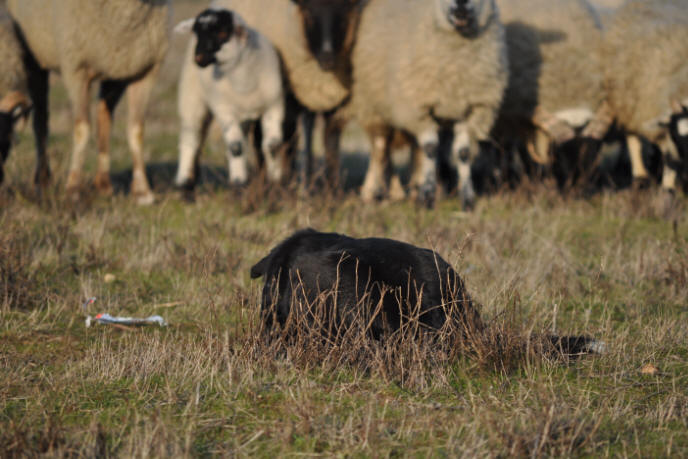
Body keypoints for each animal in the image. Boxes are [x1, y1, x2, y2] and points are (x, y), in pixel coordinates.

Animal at [7, 0, 171, 205]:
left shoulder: (144, 71)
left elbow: (136, 131)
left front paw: (142, 191)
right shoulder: (76, 69)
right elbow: (82, 129)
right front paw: (73, 189)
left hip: (113, 70)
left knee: (103, 119)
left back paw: (103, 184)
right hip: (34, 57)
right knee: (41, 121)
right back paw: (43, 180)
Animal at [173, 7, 288, 190]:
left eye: (222, 33)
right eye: (197, 33)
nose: (198, 58)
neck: (244, 84)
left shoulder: (274, 106)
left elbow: (272, 146)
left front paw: (275, 181)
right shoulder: (224, 109)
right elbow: (236, 147)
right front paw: (239, 182)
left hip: (243, 117)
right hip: (191, 99)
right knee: (190, 138)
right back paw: (184, 181)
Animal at [338, 0, 506, 207]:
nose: (460, 4)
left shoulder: (474, 110)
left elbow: (463, 153)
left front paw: (467, 198)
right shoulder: (418, 107)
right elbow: (430, 148)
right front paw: (427, 196)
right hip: (375, 105)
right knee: (380, 148)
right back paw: (374, 192)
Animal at [600, 0, 688, 196]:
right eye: (677, 137)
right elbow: (670, 160)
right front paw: (668, 190)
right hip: (627, 99)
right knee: (633, 138)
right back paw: (641, 176)